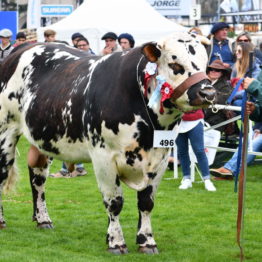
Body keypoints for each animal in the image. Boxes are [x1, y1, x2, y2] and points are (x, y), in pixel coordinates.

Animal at [0, 32, 215, 254]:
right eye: (175, 64)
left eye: (205, 64)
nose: (208, 93)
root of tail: (23, 47)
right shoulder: (103, 157)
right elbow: (114, 202)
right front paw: (116, 241)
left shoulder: (160, 158)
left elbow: (146, 202)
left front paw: (147, 241)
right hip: (6, 131)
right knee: (3, 173)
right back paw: (2, 221)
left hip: (44, 139)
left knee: (38, 178)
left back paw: (43, 219)